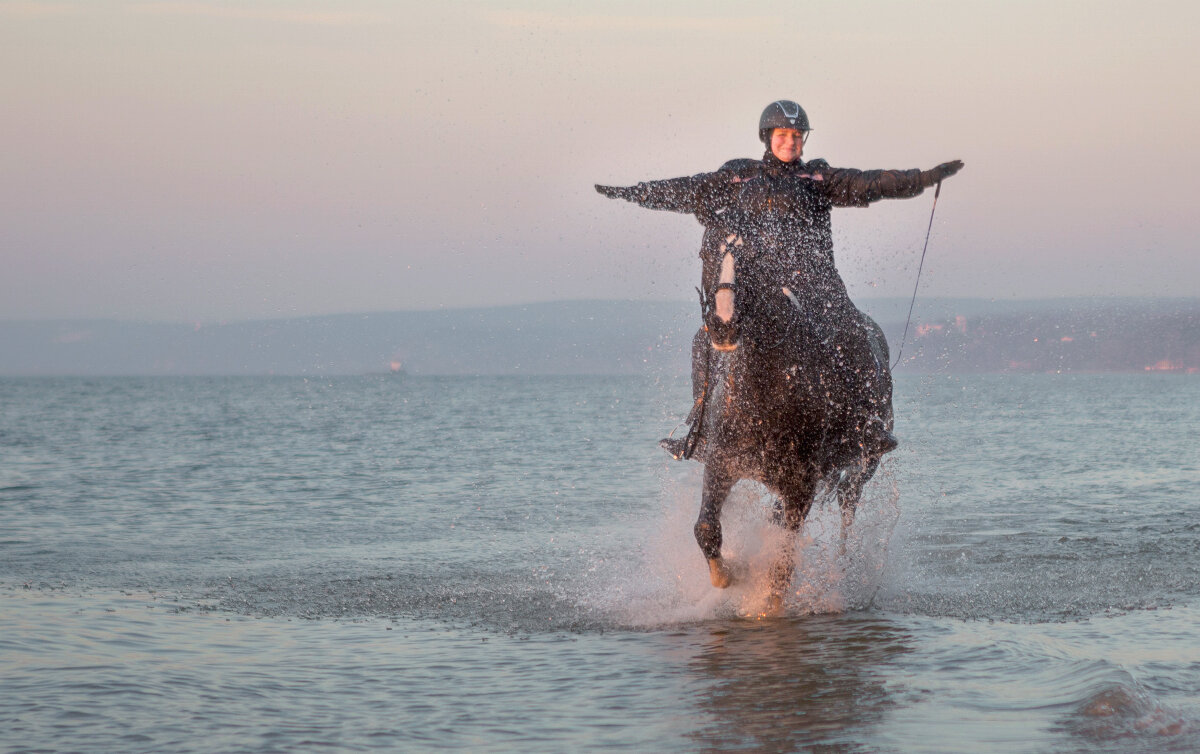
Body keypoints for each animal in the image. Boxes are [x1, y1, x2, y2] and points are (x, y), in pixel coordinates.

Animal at [686, 244, 892, 609]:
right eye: (706, 253)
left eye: (751, 259)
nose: (722, 323)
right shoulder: (721, 462)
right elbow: (706, 528)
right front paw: (730, 574)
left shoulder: (802, 483)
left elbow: (782, 562)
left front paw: (767, 604)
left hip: (862, 469)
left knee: (847, 513)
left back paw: (844, 568)